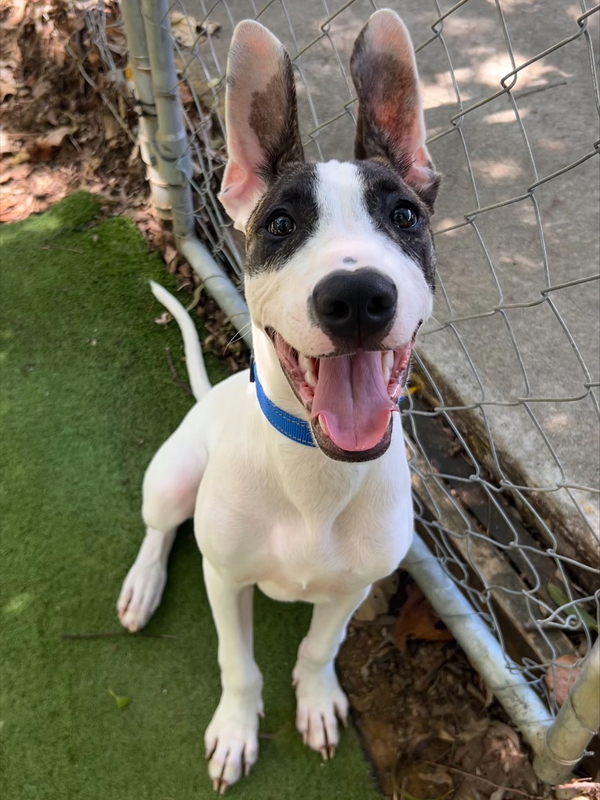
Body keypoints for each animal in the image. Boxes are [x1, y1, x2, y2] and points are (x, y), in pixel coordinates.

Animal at [117, 9, 439, 792]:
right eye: (281, 225)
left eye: (404, 216)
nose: (356, 297)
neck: (314, 475)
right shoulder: (224, 577)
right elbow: (237, 664)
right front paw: (236, 731)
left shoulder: (352, 590)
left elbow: (319, 648)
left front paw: (318, 702)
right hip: (173, 476)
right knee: (159, 528)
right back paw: (142, 584)